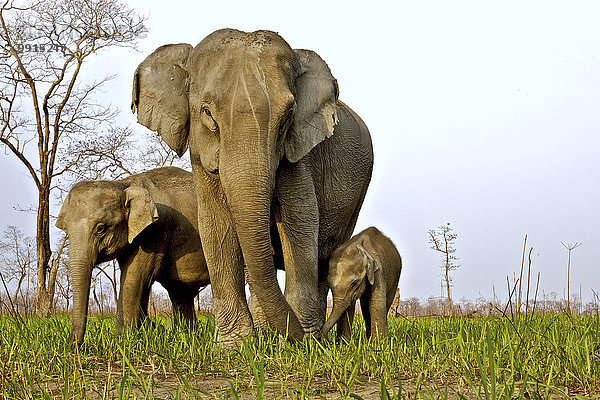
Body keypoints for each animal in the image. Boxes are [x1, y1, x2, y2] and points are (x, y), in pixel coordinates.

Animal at [134, 29, 372, 346]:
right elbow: (215, 225)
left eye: (287, 116)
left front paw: (304, 344)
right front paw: (234, 346)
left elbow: (301, 222)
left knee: (326, 255)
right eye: (207, 112)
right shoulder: (201, 157)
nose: (302, 339)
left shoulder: (299, 155)